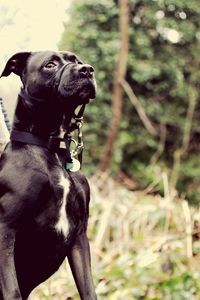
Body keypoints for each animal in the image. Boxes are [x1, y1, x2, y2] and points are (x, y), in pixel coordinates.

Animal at [0, 50, 97, 298]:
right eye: (50, 65)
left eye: (76, 61)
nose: (87, 70)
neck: (51, 149)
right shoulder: (5, 226)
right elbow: (12, 290)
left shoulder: (79, 235)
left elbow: (88, 288)